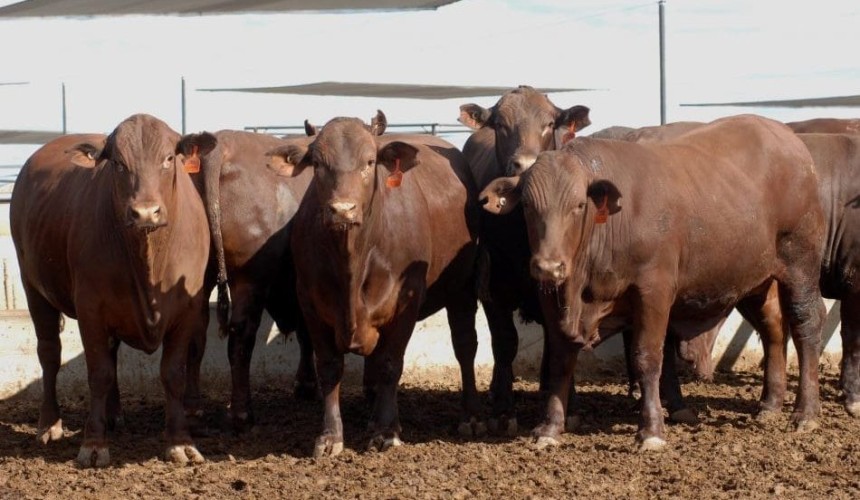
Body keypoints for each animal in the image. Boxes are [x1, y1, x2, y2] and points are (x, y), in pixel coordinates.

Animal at [10, 115, 216, 467]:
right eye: (118, 163)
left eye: (169, 158)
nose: (145, 212)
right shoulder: (91, 308)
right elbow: (99, 373)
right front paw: (94, 444)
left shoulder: (187, 309)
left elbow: (173, 373)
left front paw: (180, 442)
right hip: (33, 286)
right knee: (49, 354)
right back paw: (49, 424)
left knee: (111, 351)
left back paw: (114, 414)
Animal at [266, 111, 482, 457]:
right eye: (318, 163)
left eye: (369, 162)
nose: (342, 209)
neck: (352, 262)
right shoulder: (311, 302)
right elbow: (329, 367)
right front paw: (331, 435)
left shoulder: (406, 302)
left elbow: (390, 364)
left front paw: (386, 431)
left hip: (463, 286)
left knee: (465, 347)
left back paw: (471, 416)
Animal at [458, 86, 591, 434]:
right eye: (500, 124)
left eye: (549, 123)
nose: (525, 163)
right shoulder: (493, 286)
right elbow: (505, 343)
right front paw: (504, 410)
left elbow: (560, 342)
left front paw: (568, 403)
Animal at [480, 114, 826, 450]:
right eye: (527, 205)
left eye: (578, 205)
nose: (548, 266)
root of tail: (786, 137)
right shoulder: (551, 297)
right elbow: (560, 360)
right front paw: (550, 428)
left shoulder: (653, 291)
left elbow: (647, 358)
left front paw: (651, 431)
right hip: (757, 279)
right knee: (773, 329)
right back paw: (770, 405)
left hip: (800, 263)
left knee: (806, 324)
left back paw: (805, 413)